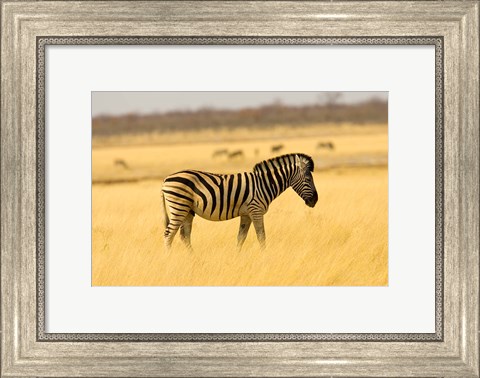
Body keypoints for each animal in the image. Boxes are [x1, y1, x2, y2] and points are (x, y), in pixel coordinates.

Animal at [161, 152, 318, 252]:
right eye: (308, 179)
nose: (315, 201)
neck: (264, 184)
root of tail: (166, 179)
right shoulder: (256, 210)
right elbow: (261, 236)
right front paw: (265, 256)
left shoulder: (246, 214)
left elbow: (241, 237)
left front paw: (237, 257)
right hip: (179, 206)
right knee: (169, 234)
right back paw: (169, 258)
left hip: (188, 210)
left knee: (184, 236)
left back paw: (193, 258)